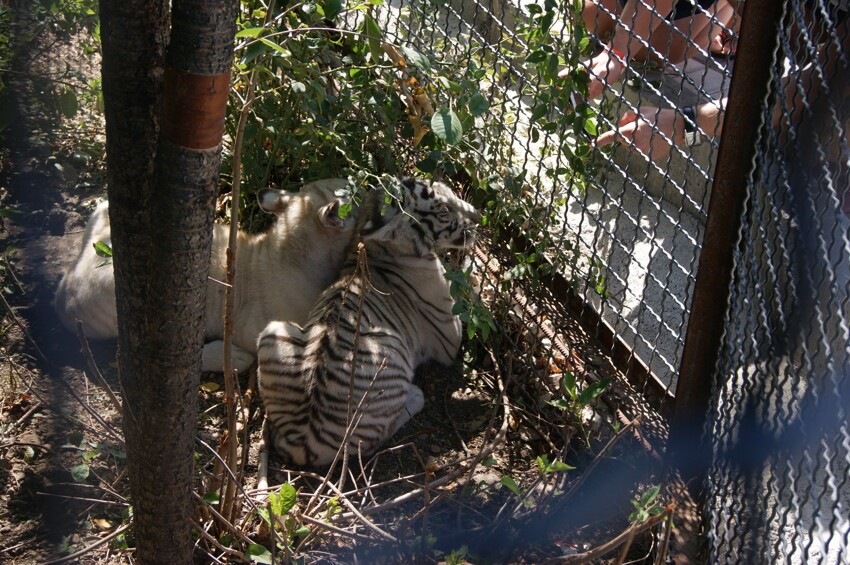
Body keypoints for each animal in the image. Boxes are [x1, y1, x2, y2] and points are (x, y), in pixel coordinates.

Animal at [255, 178, 480, 464]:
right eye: (443, 210)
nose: (478, 217)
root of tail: (303, 442)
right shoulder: (449, 335)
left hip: (272, 332)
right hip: (392, 347)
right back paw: (414, 396)